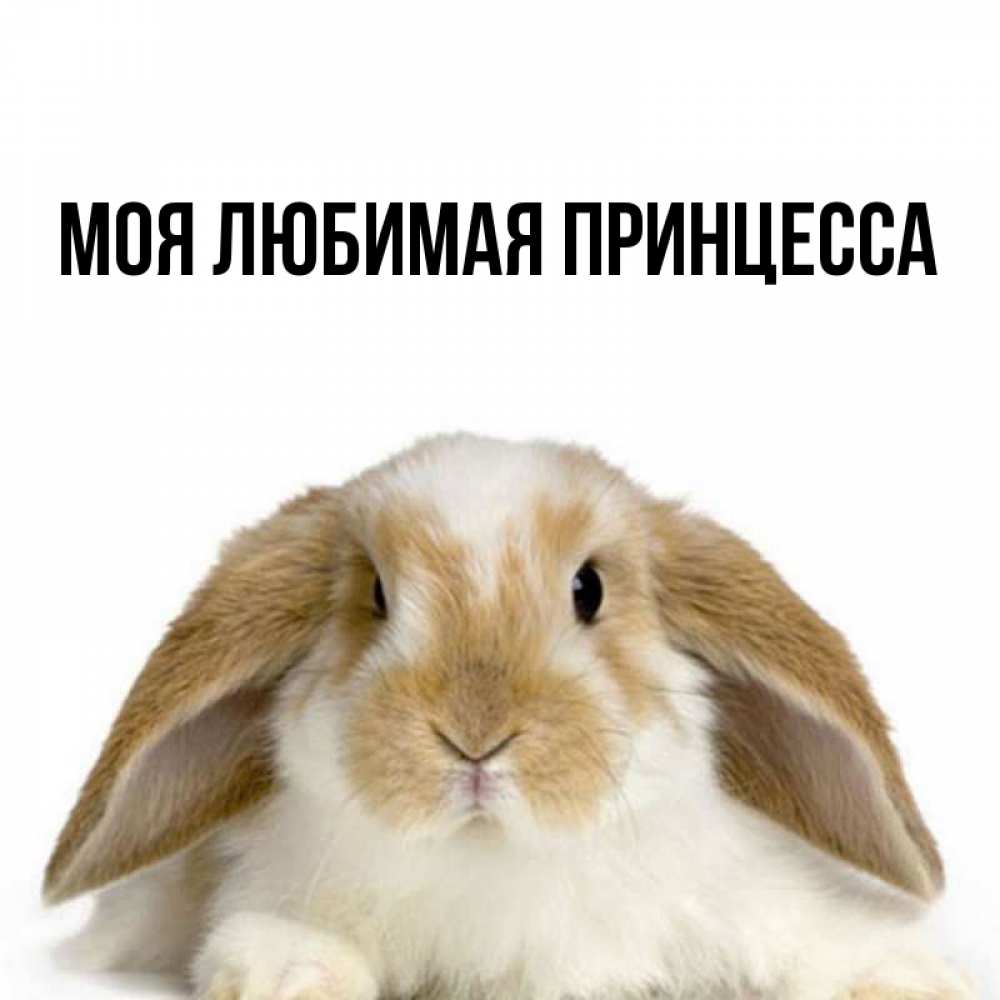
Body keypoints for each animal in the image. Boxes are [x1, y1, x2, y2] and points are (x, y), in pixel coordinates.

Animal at [45, 434, 972, 1000]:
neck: (495, 859)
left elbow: (808, 937)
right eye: (376, 595)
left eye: (589, 589)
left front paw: (908, 977)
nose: (475, 736)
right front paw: (289, 973)